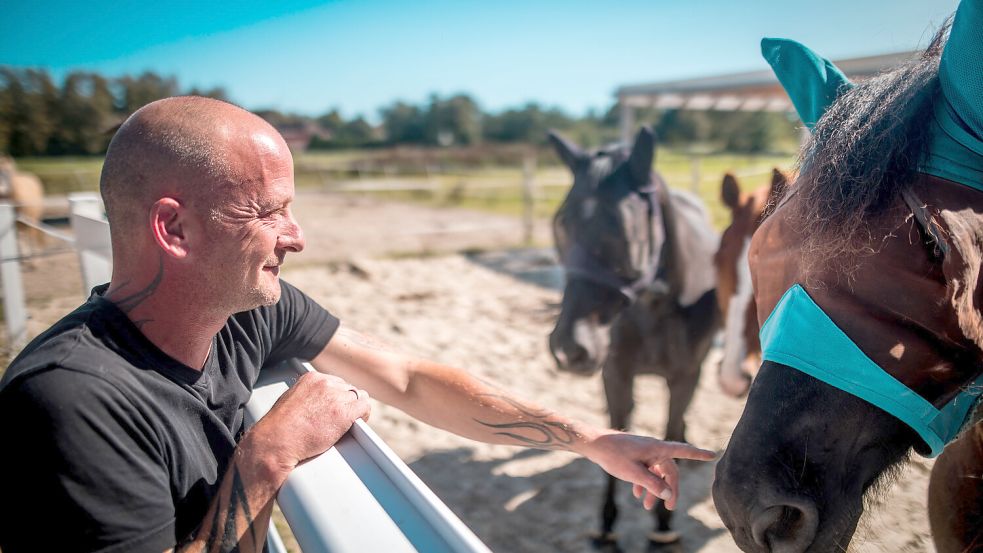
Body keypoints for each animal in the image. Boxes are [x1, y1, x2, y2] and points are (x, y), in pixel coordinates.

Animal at [547, 127, 720, 548]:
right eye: (562, 224)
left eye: (621, 229)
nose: (571, 348)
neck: (653, 308)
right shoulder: (616, 376)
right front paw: (607, 525)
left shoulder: (684, 377)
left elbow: (671, 432)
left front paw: (663, 527)